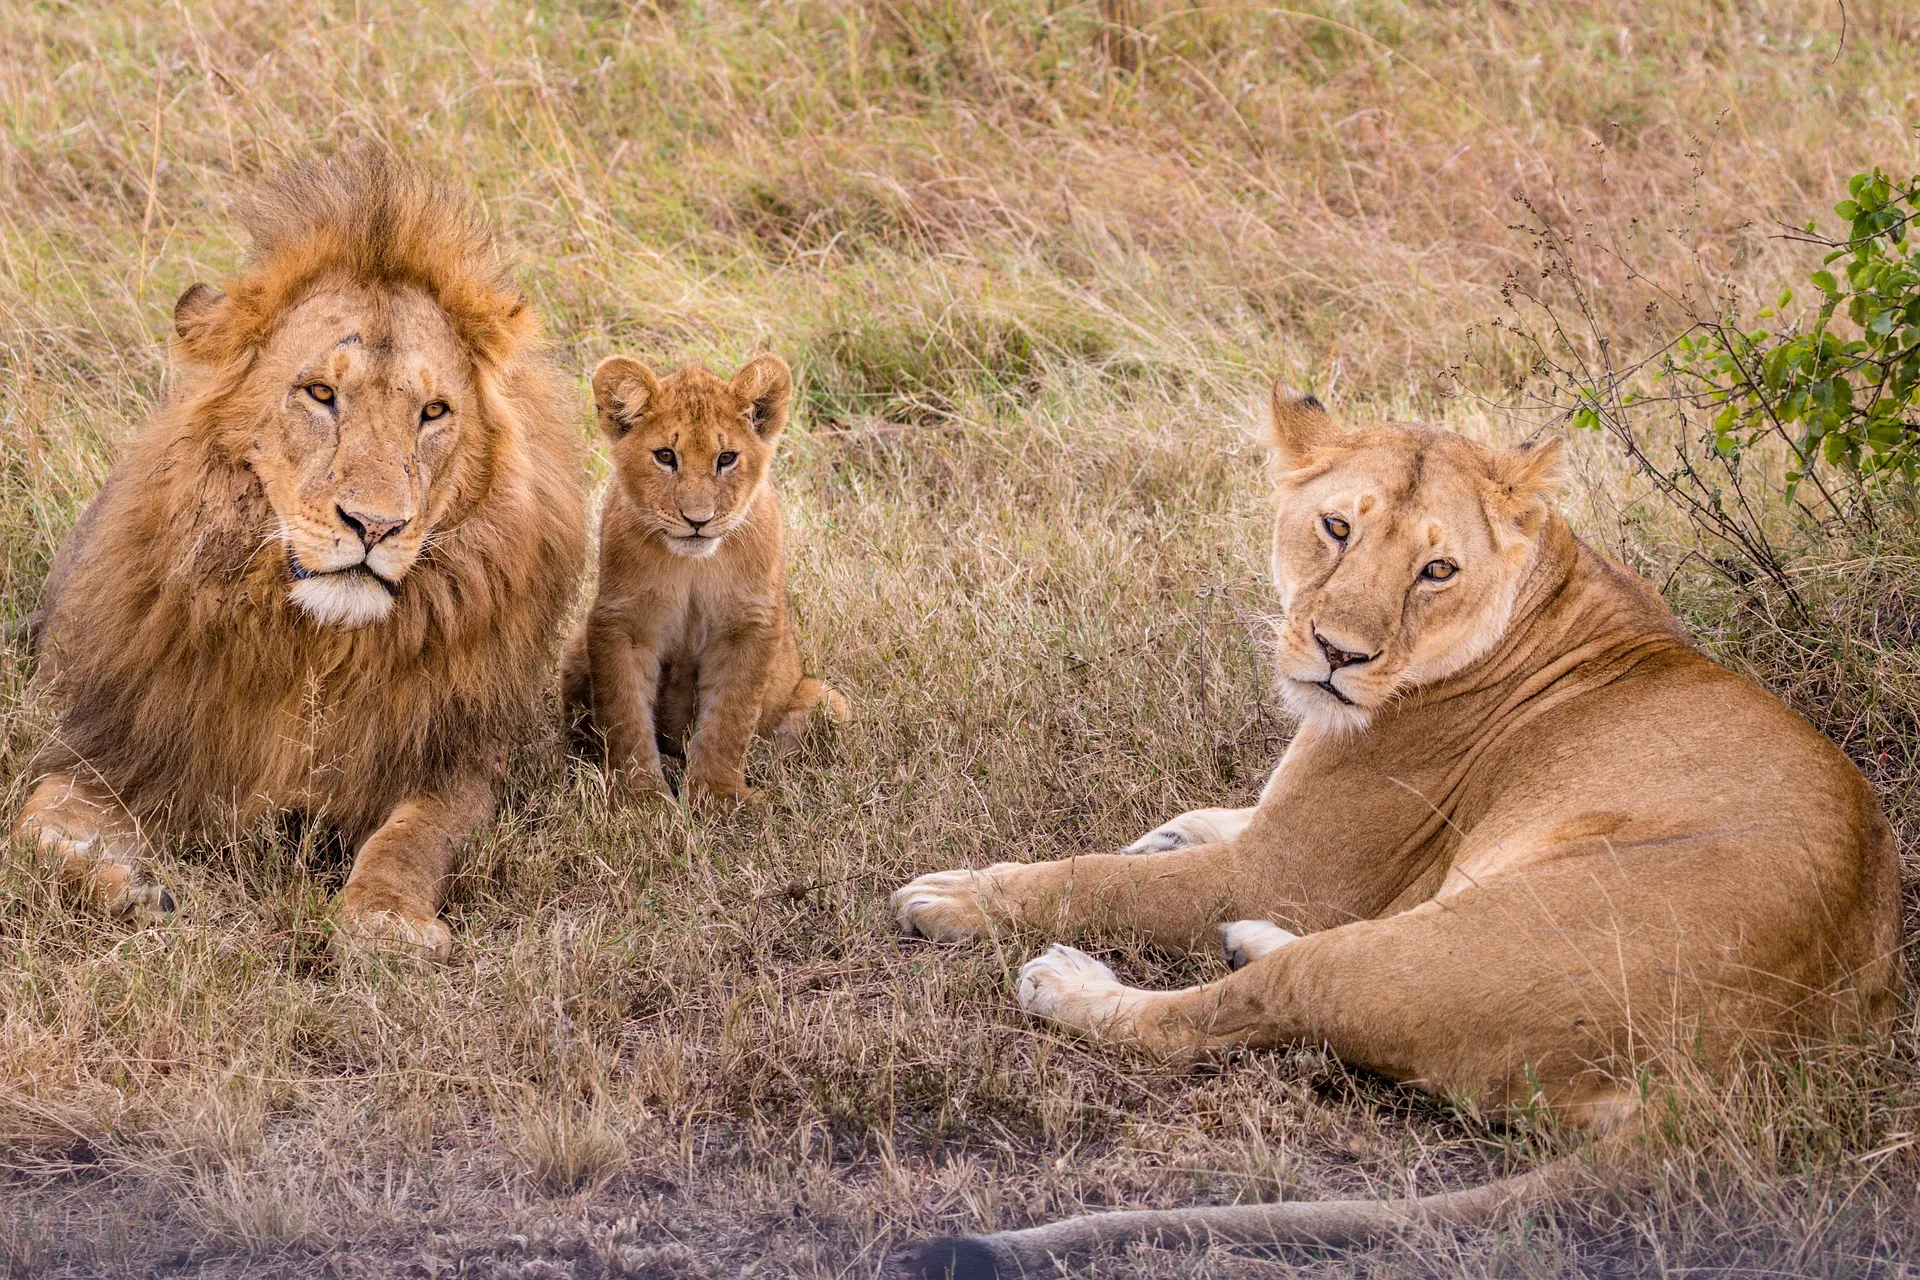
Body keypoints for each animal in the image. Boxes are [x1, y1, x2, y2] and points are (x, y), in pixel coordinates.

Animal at [11, 155, 583, 955]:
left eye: (434, 412)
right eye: (319, 393)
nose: (375, 526)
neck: (317, 648)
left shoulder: (458, 758)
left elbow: (414, 836)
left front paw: (384, 921)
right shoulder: (121, 744)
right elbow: (32, 832)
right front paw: (130, 890)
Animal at [560, 355, 848, 805]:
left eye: (726, 458)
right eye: (665, 456)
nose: (698, 521)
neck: (694, 567)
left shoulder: (748, 625)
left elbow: (730, 717)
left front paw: (717, 796)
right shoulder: (622, 622)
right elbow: (625, 713)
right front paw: (639, 798)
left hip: (828, 702)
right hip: (575, 648)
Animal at [887, 385, 1904, 1274]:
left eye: (1437, 570)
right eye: (1337, 527)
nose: (1338, 655)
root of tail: (1747, 1087)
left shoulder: (1288, 874)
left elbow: (1096, 878)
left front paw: (958, 894)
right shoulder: (1278, 833)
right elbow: (1208, 819)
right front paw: (1168, 832)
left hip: (1426, 947)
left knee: (1221, 1017)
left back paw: (1071, 981)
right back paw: (1240, 940)